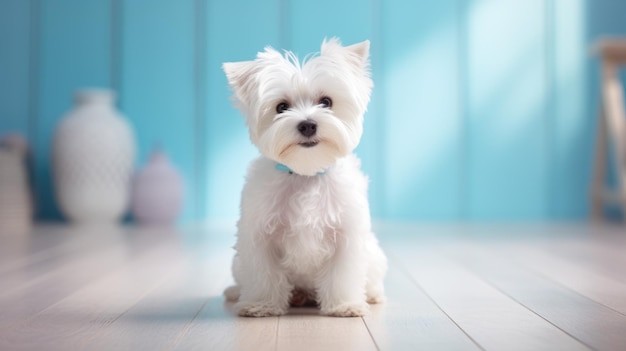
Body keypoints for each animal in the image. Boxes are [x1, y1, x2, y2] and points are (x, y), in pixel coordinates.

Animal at [219, 38, 386, 320]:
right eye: (281, 107)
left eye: (326, 102)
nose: (307, 124)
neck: (306, 173)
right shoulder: (260, 235)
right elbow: (263, 274)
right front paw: (261, 304)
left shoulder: (346, 235)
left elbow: (342, 274)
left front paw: (344, 305)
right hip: (237, 262)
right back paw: (238, 292)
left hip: (374, 254)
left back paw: (372, 295)